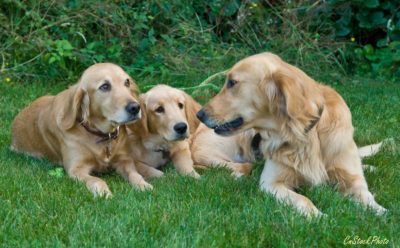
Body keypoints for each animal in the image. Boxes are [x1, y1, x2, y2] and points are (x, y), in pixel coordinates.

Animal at [10, 63, 152, 197]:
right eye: (105, 86)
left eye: (127, 82)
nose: (135, 107)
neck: (101, 135)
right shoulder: (76, 169)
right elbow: (97, 180)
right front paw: (104, 192)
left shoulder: (124, 160)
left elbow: (135, 174)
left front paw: (143, 185)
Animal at [198, 52, 386, 217]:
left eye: (232, 82)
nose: (199, 114)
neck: (303, 135)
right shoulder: (271, 183)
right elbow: (303, 199)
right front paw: (318, 216)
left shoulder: (353, 178)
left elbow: (365, 195)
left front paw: (380, 212)